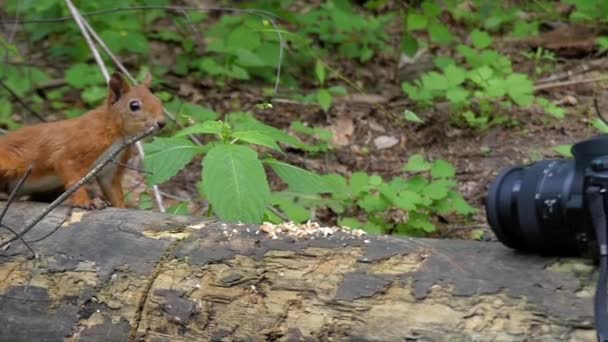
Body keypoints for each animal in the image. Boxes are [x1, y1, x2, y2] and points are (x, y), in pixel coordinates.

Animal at [0, 73, 164, 208]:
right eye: (134, 105)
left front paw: (120, 207)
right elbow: (71, 175)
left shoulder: (112, 166)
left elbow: (113, 189)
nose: (162, 123)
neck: (116, 133)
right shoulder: (82, 144)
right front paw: (85, 202)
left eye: (159, 100)